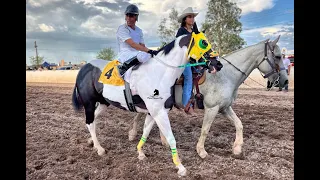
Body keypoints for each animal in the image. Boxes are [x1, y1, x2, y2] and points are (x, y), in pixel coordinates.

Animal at [127, 35, 288, 159]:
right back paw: (132, 134)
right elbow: (205, 129)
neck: (226, 75)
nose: (285, 81)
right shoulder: (212, 108)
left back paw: (163, 141)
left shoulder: (225, 108)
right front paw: (201, 151)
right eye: (278, 56)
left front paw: (237, 148)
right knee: (139, 115)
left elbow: (239, 124)